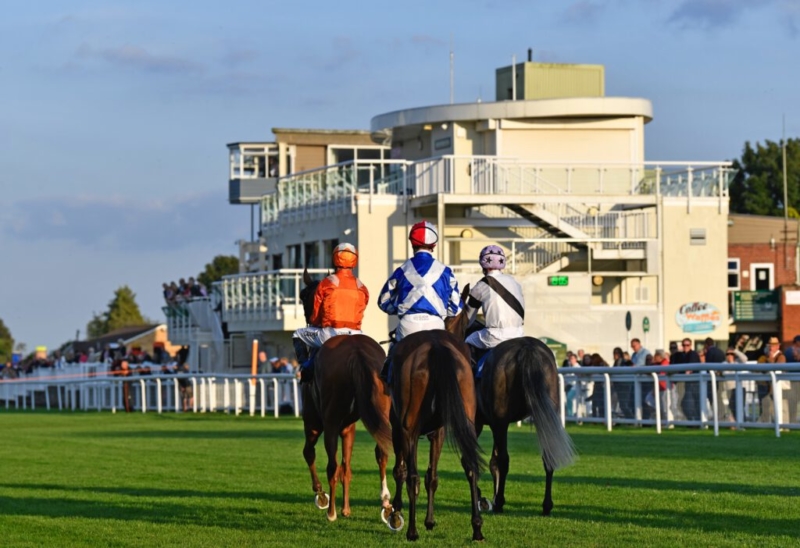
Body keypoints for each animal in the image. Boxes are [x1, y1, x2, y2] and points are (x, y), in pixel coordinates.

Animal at [298, 270, 392, 524]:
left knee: (330, 464)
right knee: (381, 453)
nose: (309, 318)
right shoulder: (348, 428)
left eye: (303, 296)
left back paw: (330, 512)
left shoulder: (313, 421)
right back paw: (386, 503)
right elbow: (347, 467)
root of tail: (356, 352)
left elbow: (310, 454)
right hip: (383, 411)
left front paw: (321, 495)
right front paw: (346, 509)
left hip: (328, 420)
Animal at [384, 284, 484, 540]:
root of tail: (436, 347)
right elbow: (433, 476)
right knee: (470, 466)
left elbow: (401, 471)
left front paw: (396, 514)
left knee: (411, 476)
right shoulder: (438, 431)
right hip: (466, 420)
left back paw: (411, 530)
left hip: (408, 427)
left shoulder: (398, 428)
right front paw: (429, 520)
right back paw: (477, 527)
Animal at [468, 334, 576, 520]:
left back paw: (500, 502)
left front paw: (484, 498)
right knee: (548, 456)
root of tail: (527, 346)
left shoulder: (480, 423)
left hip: (500, 422)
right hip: (545, 413)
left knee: (503, 460)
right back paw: (546, 506)